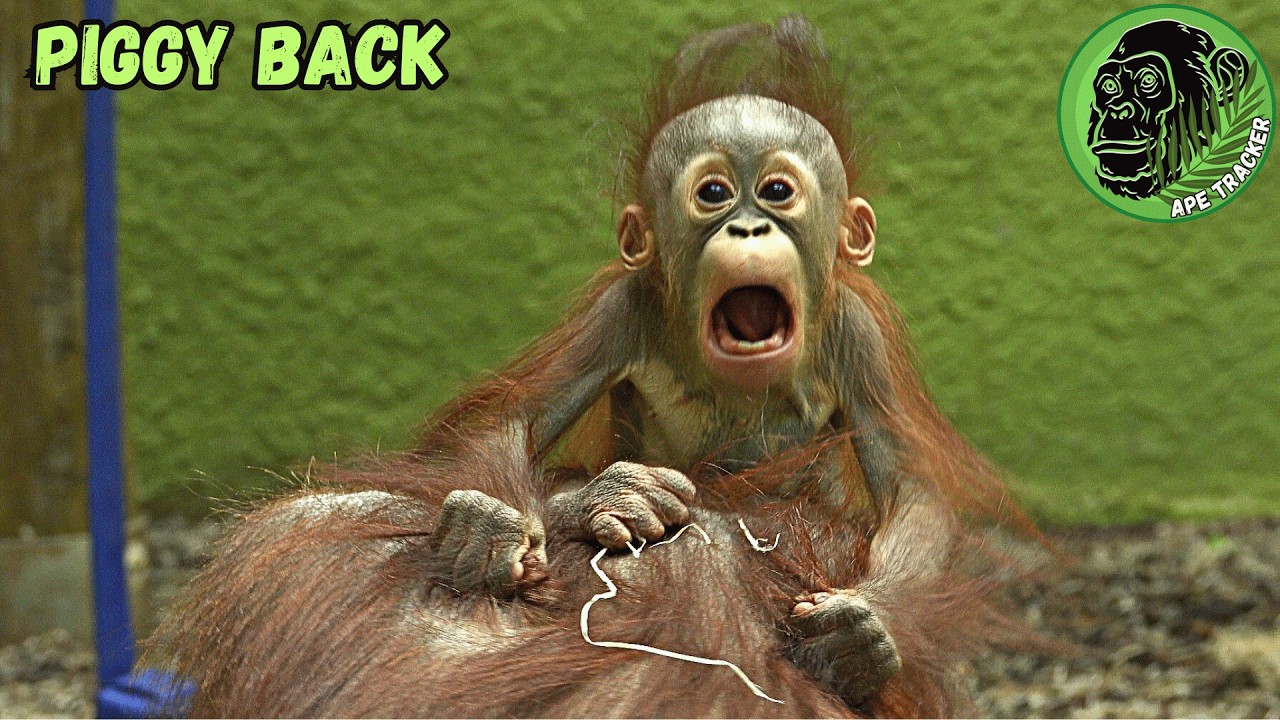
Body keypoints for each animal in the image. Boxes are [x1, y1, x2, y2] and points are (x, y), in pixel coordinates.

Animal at [148, 17, 1033, 718]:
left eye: (779, 191)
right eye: (714, 193)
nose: (748, 227)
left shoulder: (859, 334)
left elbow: (907, 485)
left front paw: (864, 634)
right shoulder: (620, 307)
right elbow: (512, 418)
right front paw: (496, 523)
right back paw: (601, 503)